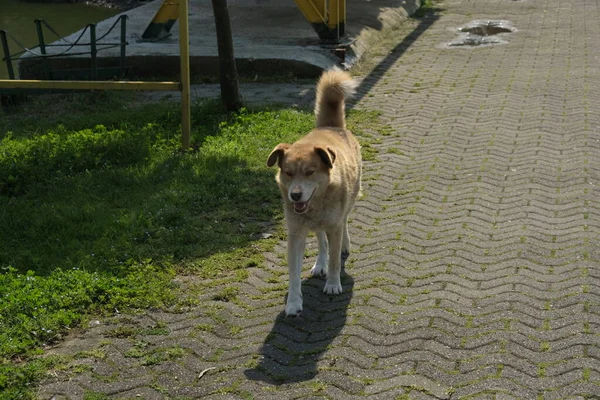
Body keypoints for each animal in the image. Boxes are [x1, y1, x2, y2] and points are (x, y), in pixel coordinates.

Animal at [268, 69, 360, 318]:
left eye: (310, 172)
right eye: (288, 172)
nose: (295, 196)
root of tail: (329, 127)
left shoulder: (334, 225)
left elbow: (336, 261)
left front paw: (333, 284)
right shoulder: (296, 234)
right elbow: (293, 274)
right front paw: (293, 303)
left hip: (349, 202)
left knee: (344, 223)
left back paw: (344, 246)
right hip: (318, 225)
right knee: (320, 239)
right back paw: (320, 263)